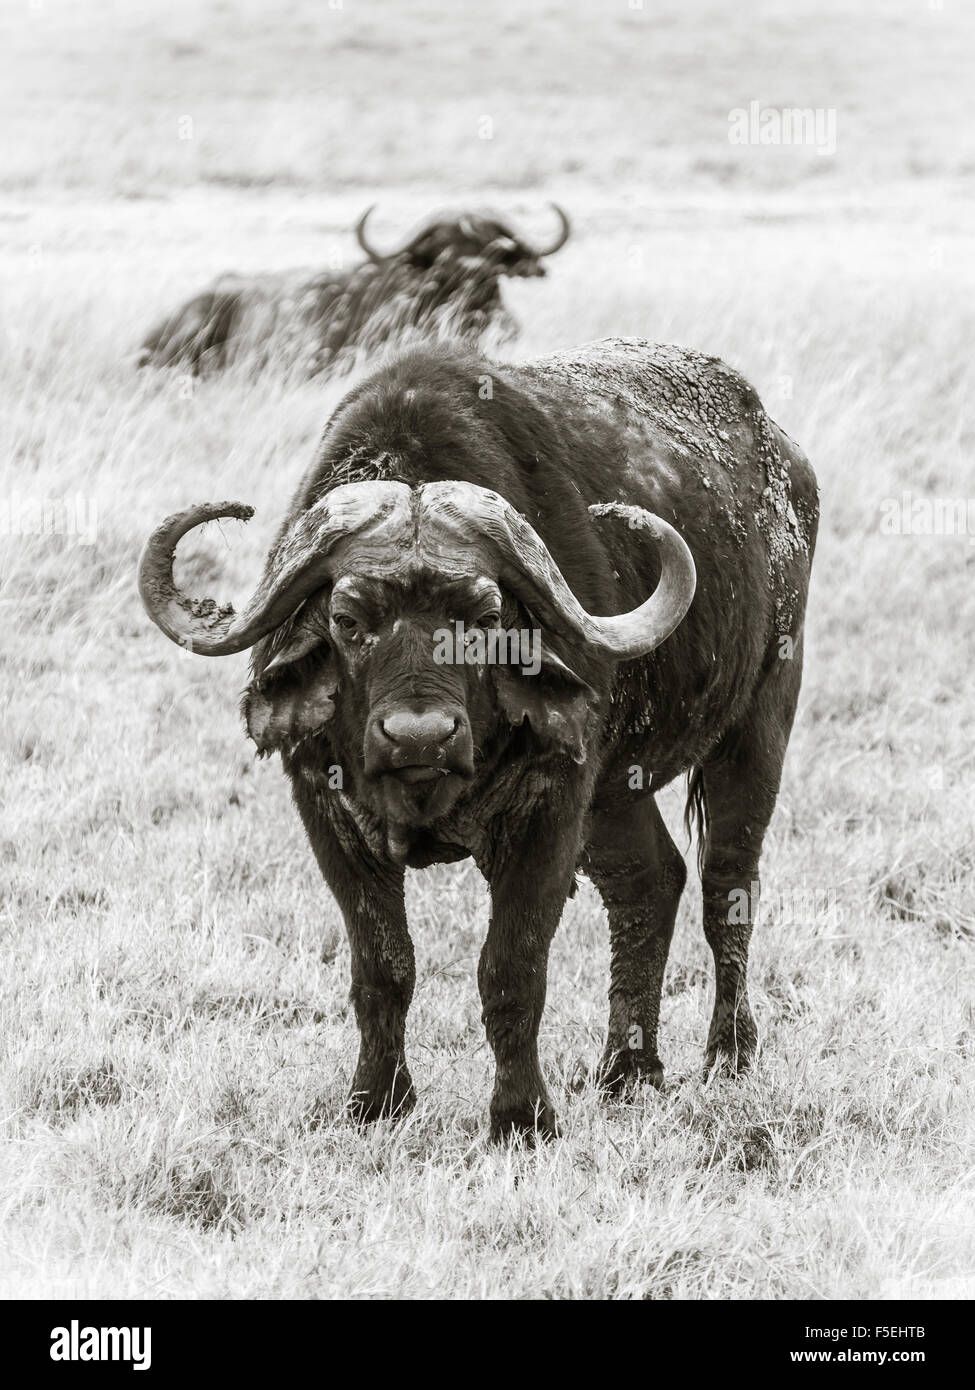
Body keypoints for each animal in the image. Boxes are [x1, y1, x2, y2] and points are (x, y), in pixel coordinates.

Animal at [140, 336, 817, 1139]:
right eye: (347, 620)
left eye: (486, 619)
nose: (418, 737)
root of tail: (784, 460)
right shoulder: (326, 810)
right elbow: (383, 966)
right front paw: (375, 1101)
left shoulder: (550, 806)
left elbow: (511, 969)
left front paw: (522, 1117)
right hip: (614, 792)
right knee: (650, 883)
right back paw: (628, 1072)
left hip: (759, 724)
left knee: (726, 887)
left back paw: (728, 1055)